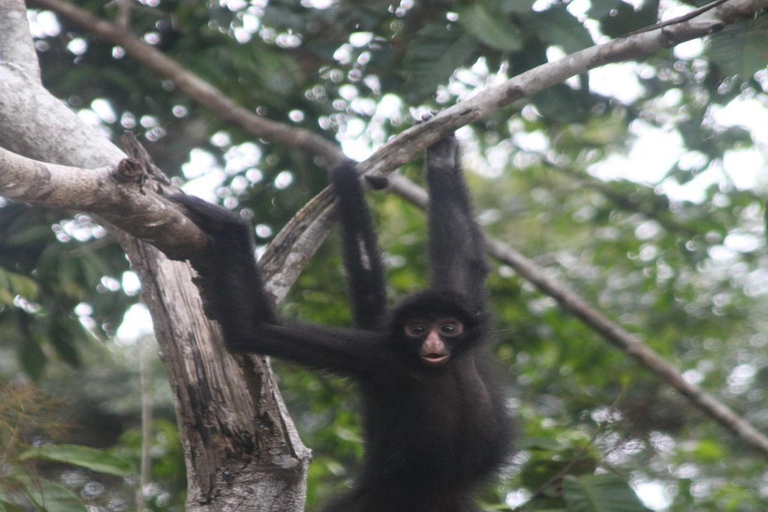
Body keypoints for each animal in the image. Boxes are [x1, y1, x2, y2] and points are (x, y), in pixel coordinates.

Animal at [170, 135, 516, 512]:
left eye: (449, 328)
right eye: (417, 329)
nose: (433, 344)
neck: (439, 368)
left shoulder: (465, 315)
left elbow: (463, 258)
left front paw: (441, 158)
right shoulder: (376, 355)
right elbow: (252, 327)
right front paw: (228, 228)